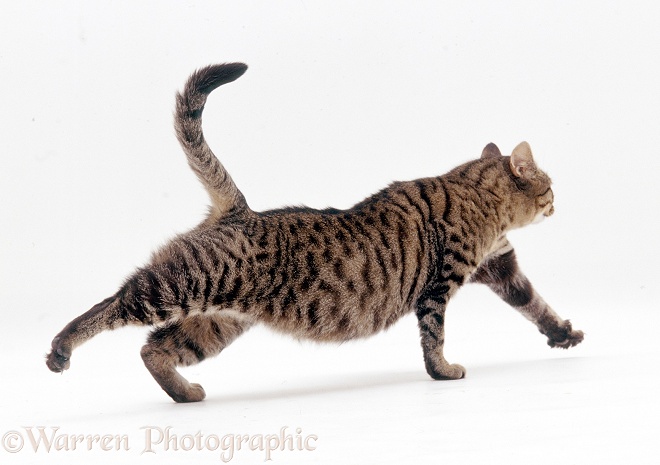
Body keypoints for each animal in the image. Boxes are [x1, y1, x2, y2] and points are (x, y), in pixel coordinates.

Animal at [45, 62, 584, 402]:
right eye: (551, 185)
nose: (560, 202)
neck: (479, 195)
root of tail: (240, 211)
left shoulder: (502, 267)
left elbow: (537, 305)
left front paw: (564, 333)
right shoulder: (439, 286)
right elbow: (434, 339)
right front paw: (444, 372)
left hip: (213, 323)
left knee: (152, 347)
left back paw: (184, 394)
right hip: (185, 283)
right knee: (117, 301)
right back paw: (62, 347)